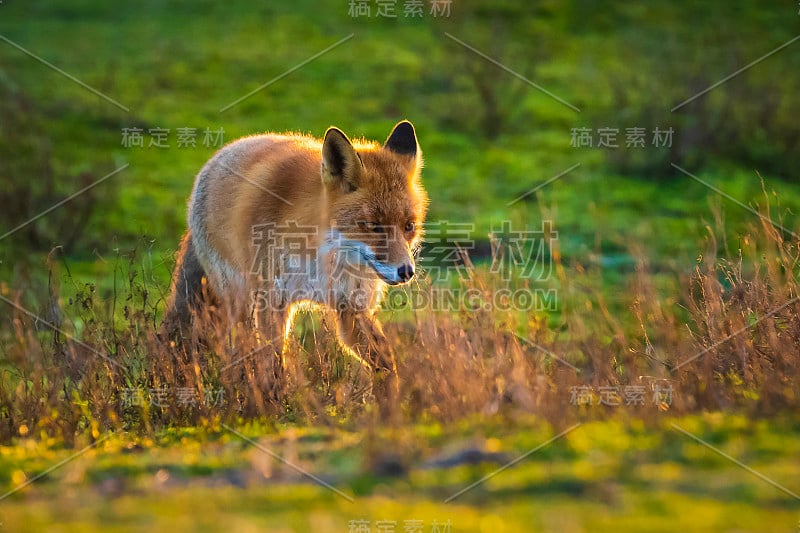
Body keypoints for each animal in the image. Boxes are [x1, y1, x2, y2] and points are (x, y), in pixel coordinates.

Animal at [162, 122, 424, 376]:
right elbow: (275, 366)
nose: (406, 271)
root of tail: (220, 154)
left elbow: (386, 363)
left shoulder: (352, 307)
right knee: (238, 348)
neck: (322, 259)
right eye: (372, 226)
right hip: (239, 299)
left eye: (409, 226)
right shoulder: (270, 302)